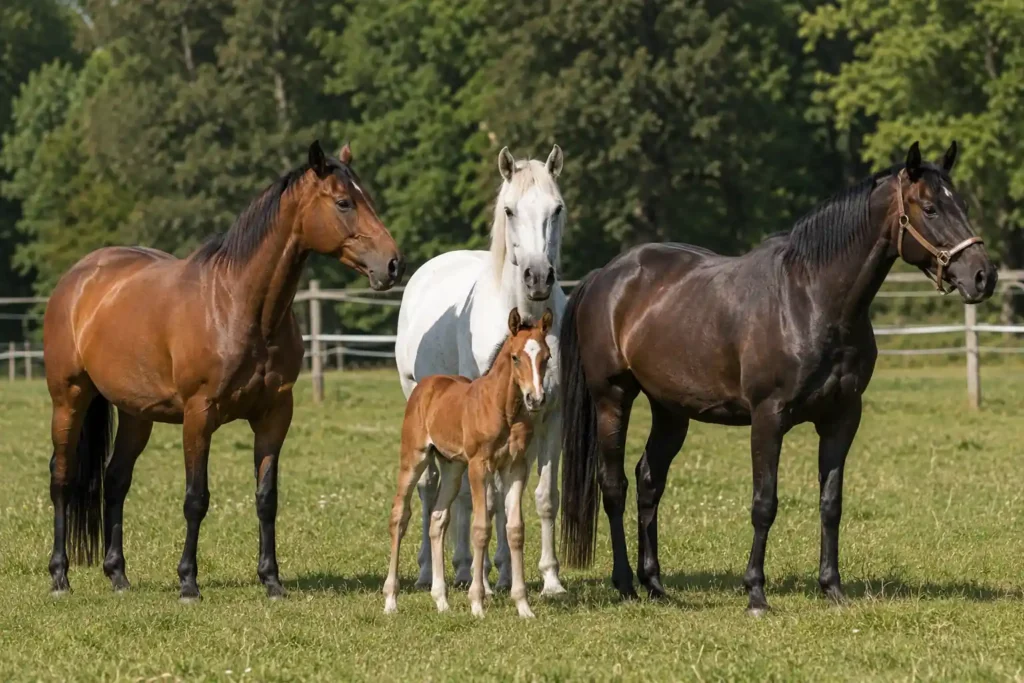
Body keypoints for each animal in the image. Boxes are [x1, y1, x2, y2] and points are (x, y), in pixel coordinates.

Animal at [42, 141, 403, 601]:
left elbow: (267, 498)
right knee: (63, 478)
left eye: (366, 198)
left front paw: (271, 581)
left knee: (116, 480)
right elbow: (196, 498)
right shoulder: (199, 415)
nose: (392, 264)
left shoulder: (274, 415)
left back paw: (118, 576)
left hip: (136, 414)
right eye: (343, 202)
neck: (239, 305)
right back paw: (60, 576)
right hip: (69, 398)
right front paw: (188, 582)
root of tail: (79, 277)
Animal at [385, 308, 553, 618]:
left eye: (546, 356)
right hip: (414, 458)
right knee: (399, 515)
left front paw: (523, 606)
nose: (535, 399)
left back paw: (441, 601)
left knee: (438, 519)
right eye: (515, 357)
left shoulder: (516, 467)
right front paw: (477, 602)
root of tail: (426, 384)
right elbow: (481, 528)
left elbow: (515, 530)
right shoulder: (479, 466)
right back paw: (390, 600)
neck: (503, 409)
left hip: (452, 467)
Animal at [395, 145, 567, 595]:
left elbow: (543, 496)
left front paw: (549, 579)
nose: (538, 277)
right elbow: (487, 501)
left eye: (557, 208)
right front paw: (491, 581)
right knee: (432, 489)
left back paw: (468, 568)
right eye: (509, 210)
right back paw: (433, 571)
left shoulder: (551, 417)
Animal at [558, 141, 997, 614]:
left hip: (671, 410)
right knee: (614, 485)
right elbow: (764, 503)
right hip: (613, 398)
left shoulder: (842, 418)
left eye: (962, 204)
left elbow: (831, 503)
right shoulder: (768, 418)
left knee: (648, 481)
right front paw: (756, 594)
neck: (811, 300)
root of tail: (605, 276)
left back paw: (655, 584)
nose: (982, 276)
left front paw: (832, 588)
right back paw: (625, 584)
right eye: (930, 208)